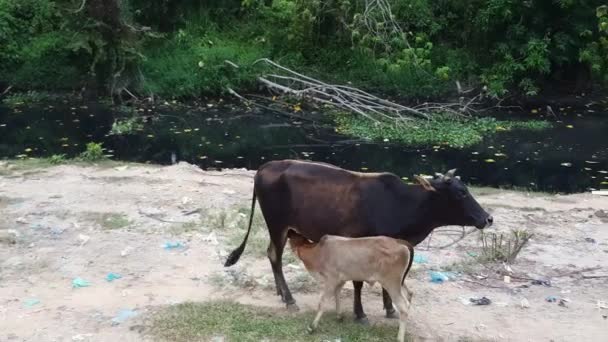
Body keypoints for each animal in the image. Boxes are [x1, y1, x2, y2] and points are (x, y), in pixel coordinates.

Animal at [226, 160, 492, 320]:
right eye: (461, 193)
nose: (488, 218)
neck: (401, 204)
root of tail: (267, 166)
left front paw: (389, 309)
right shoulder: (358, 242)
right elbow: (358, 282)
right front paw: (360, 313)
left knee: (272, 255)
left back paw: (281, 293)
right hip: (277, 225)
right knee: (275, 255)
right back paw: (289, 299)